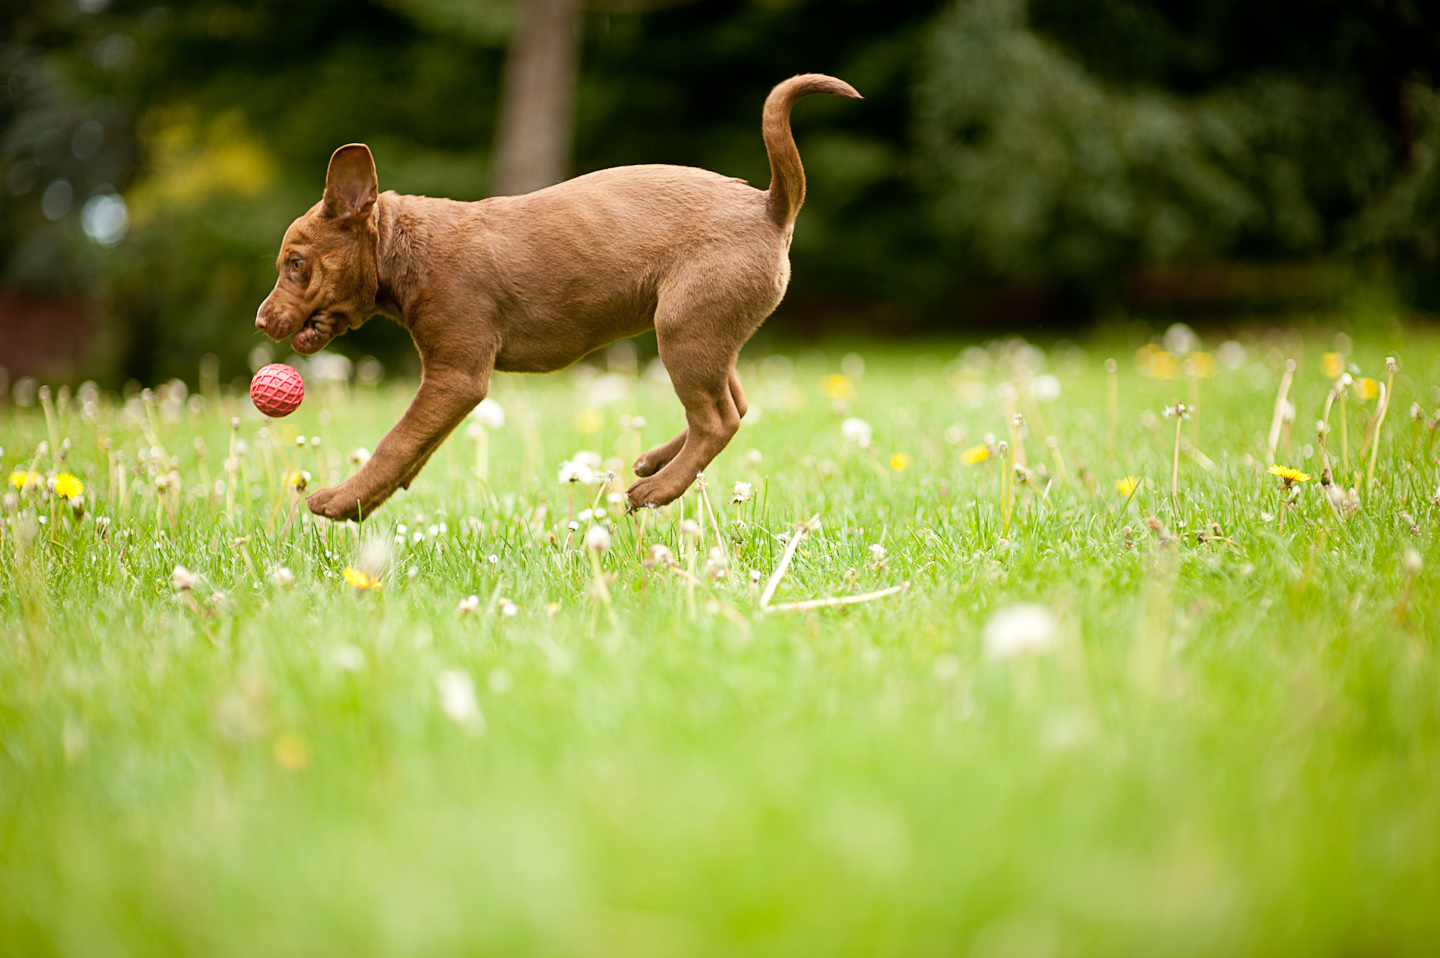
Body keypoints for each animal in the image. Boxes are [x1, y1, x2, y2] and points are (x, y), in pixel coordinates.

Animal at [254, 74, 858, 518]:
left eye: (296, 264)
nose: (261, 322)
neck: (408, 248)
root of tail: (770, 205)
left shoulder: (455, 375)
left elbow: (396, 441)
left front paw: (339, 501)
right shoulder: (448, 383)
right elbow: (416, 449)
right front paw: (365, 503)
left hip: (685, 330)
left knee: (718, 418)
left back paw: (655, 491)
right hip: (705, 331)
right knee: (735, 403)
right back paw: (652, 463)